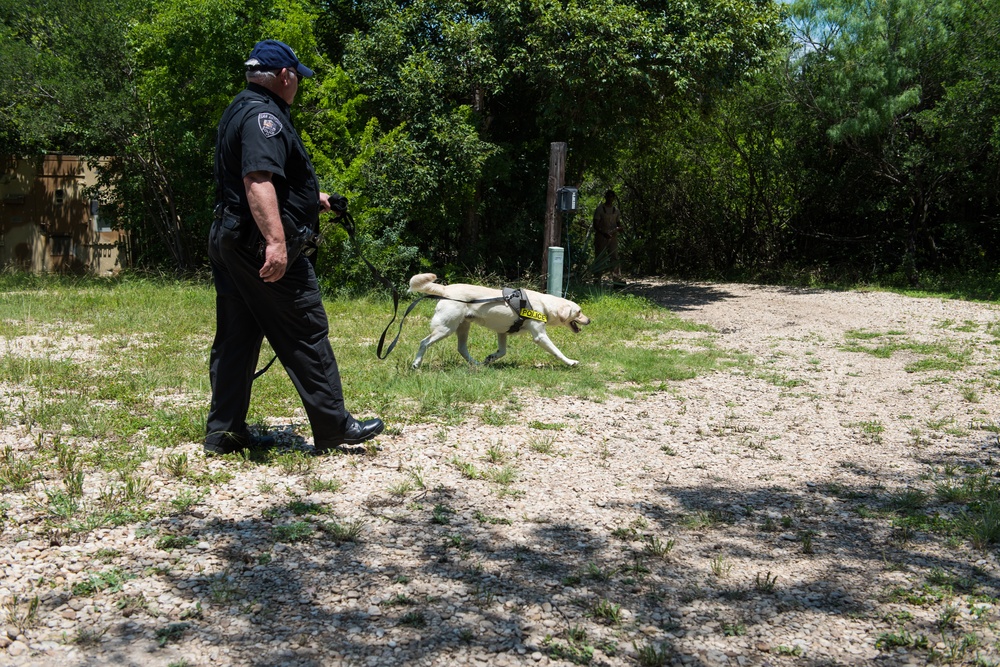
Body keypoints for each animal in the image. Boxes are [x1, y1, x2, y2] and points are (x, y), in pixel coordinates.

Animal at [408, 276, 588, 374]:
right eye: (579, 312)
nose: (589, 321)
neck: (544, 304)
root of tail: (446, 290)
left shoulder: (502, 332)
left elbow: (502, 352)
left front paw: (490, 358)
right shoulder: (540, 336)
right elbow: (557, 352)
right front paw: (570, 362)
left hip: (463, 327)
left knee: (462, 348)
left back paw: (476, 364)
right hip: (445, 329)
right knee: (424, 342)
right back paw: (416, 364)